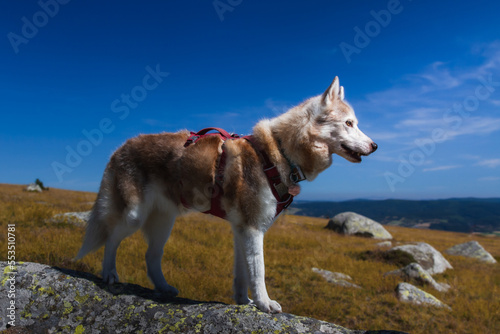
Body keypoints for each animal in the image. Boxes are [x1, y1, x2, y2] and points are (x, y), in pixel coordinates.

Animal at [77, 76, 376, 314]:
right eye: (349, 123)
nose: (375, 145)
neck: (278, 152)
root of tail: (120, 147)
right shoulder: (253, 228)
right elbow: (259, 272)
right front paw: (265, 304)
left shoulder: (242, 229)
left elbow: (243, 274)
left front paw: (244, 301)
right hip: (134, 216)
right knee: (112, 238)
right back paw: (109, 273)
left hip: (164, 222)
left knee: (151, 258)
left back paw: (164, 288)